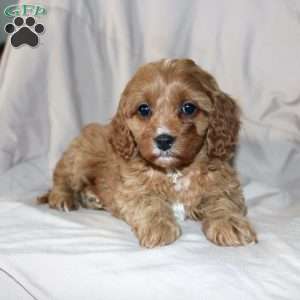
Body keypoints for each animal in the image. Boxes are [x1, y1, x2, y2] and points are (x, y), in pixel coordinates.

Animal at [38, 58, 258, 248]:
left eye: (188, 108)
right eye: (144, 110)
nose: (163, 140)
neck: (174, 171)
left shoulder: (224, 183)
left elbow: (222, 200)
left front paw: (230, 224)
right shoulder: (131, 189)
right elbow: (149, 202)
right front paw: (158, 227)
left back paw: (92, 197)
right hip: (79, 157)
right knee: (62, 176)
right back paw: (62, 198)